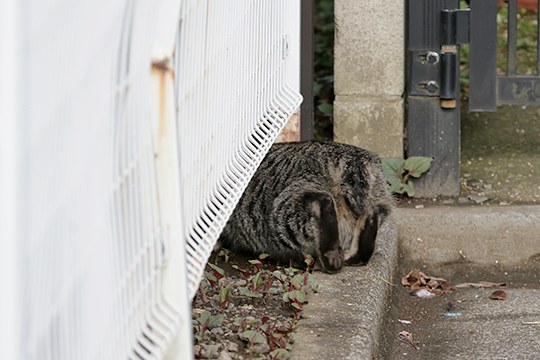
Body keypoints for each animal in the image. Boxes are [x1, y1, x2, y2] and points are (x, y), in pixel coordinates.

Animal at [218, 141, 392, 272]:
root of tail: (353, 160)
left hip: (283, 212)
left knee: (320, 203)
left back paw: (330, 256)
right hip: (380, 197)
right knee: (373, 217)